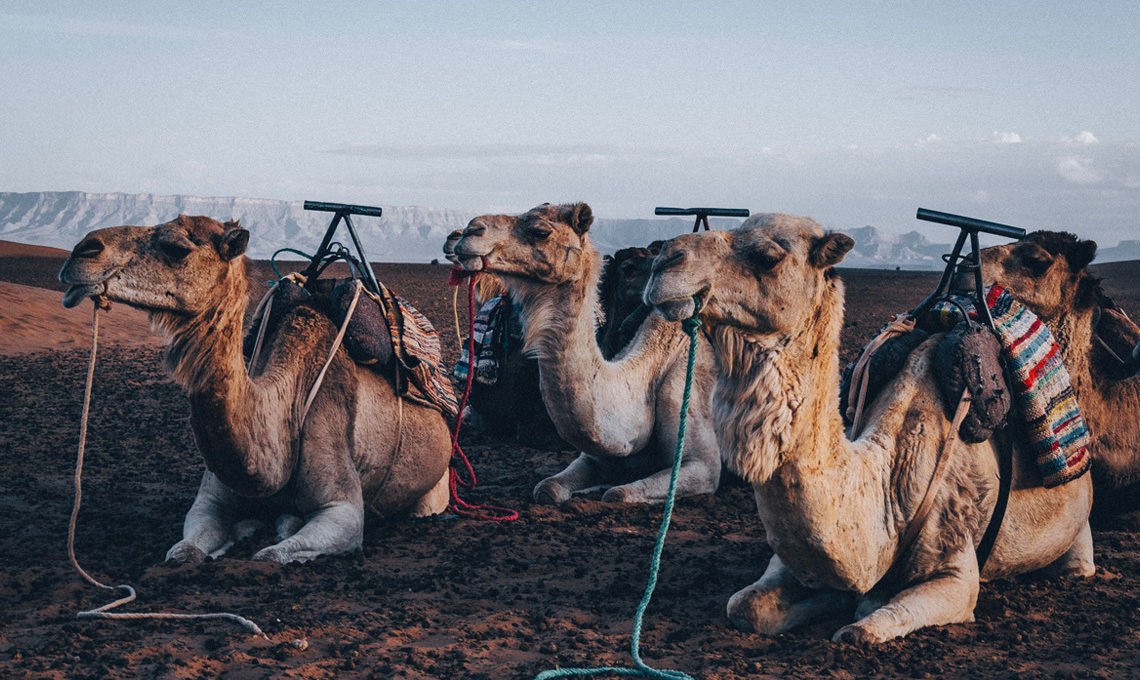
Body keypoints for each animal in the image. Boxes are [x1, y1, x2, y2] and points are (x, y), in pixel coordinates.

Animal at [58, 215, 453, 564]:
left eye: (176, 248)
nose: (82, 250)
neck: (285, 407)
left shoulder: (341, 507)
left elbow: (272, 555)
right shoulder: (209, 502)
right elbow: (182, 552)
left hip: (437, 485)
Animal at [450, 202, 721, 504]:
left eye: (540, 231)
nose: (470, 231)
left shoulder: (702, 465)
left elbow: (617, 494)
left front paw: (602, 489)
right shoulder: (591, 457)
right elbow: (547, 489)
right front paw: (588, 488)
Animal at [642, 213, 1094, 642]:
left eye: (768, 256)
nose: (663, 259)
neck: (886, 486)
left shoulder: (956, 571)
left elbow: (863, 628)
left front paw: (863, 607)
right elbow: (745, 607)